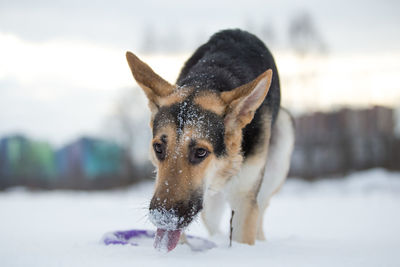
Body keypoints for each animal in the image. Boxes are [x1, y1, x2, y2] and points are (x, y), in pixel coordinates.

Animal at [126, 29, 296, 253]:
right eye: (158, 148)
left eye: (200, 152)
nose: (163, 218)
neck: (208, 79)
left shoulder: (244, 199)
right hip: (211, 204)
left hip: (280, 147)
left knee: (261, 209)